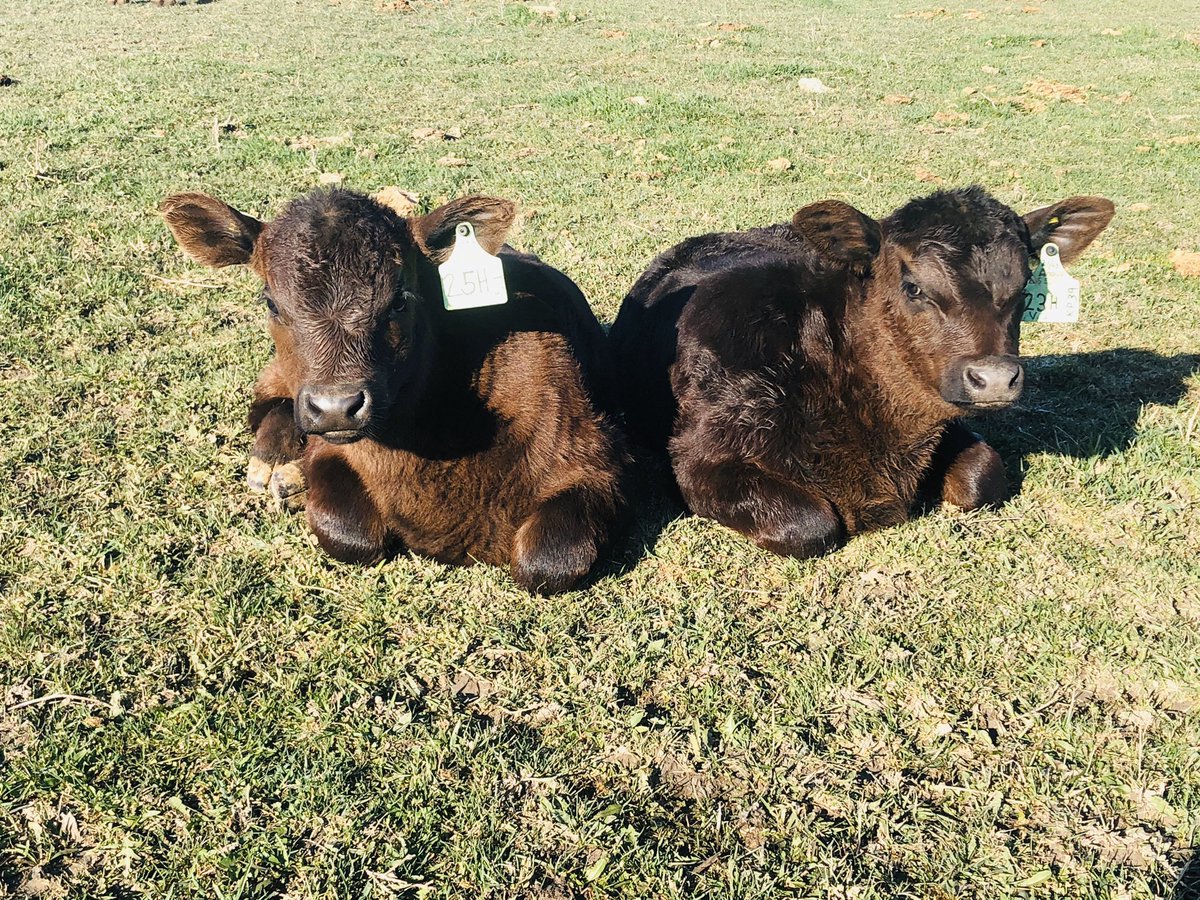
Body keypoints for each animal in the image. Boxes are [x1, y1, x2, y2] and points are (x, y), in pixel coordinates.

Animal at [161, 189, 629, 594]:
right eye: (272, 303)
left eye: (401, 299)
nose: (337, 407)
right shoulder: (335, 450)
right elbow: (349, 534)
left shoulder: (593, 464)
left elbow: (548, 562)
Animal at [609, 186, 1114, 557]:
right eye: (913, 287)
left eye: (1025, 285)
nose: (993, 378)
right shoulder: (695, 456)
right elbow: (811, 525)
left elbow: (983, 477)